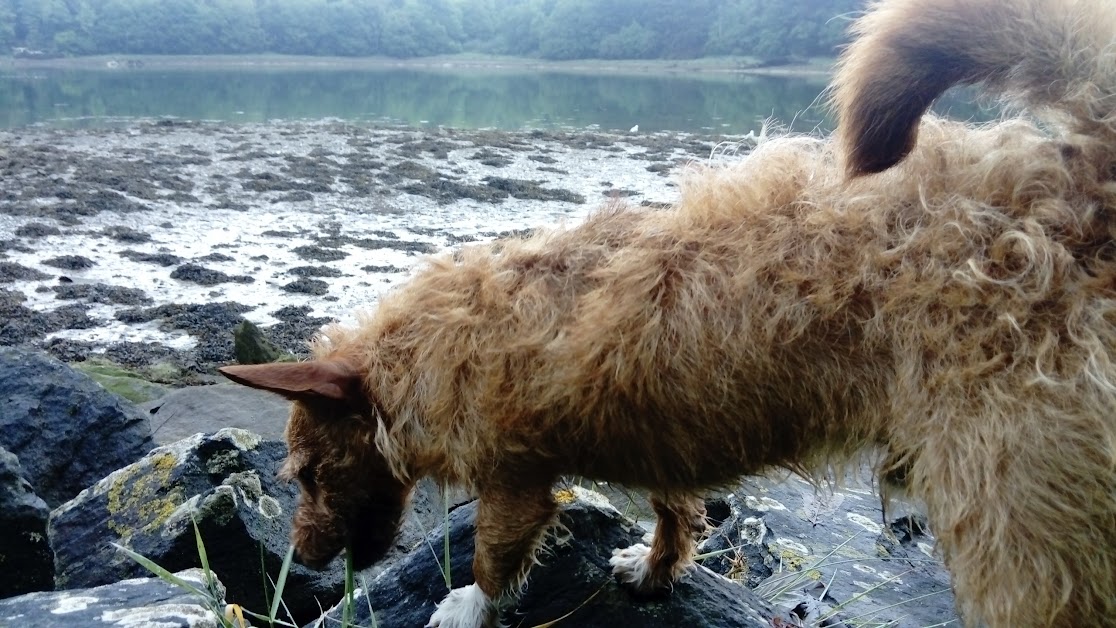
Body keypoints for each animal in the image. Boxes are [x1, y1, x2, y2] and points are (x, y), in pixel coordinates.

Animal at [222, 0, 1116, 624]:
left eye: (307, 474)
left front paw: (467, 606)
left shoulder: (516, 479)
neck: (442, 341)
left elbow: (490, 557)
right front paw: (657, 568)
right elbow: (673, 507)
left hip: (1017, 528)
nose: (301, 561)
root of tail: (1073, 182)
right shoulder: (660, 436)